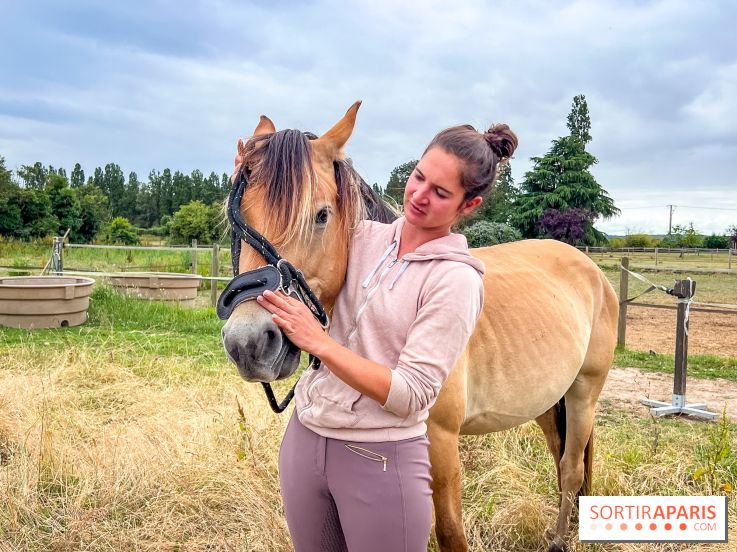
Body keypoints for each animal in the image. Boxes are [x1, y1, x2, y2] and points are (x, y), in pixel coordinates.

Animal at [220, 102, 619, 552]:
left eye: (321, 215)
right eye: (237, 221)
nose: (249, 343)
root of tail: (590, 268)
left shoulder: (442, 443)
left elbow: (449, 532)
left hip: (583, 393)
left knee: (571, 467)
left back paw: (559, 540)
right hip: (549, 401)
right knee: (560, 455)